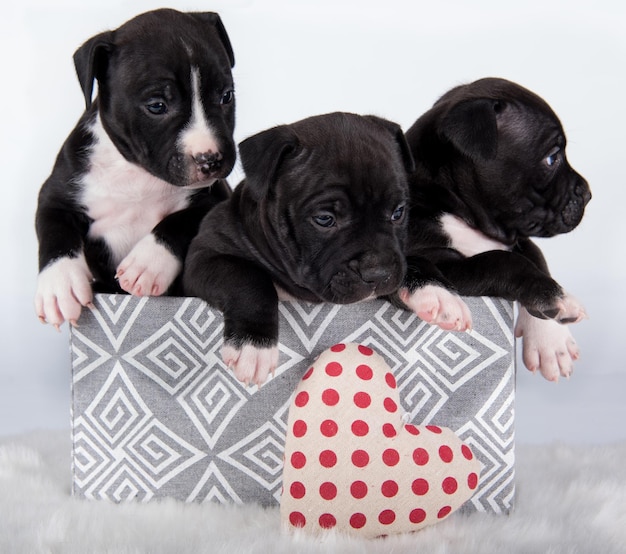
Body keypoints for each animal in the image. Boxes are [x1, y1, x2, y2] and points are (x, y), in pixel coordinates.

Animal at [36, 8, 236, 326]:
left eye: (226, 96)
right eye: (157, 105)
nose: (211, 159)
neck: (138, 174)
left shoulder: (216, 199)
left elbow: (180, 220)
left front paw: (147, 262)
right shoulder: (55, 195)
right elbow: (55, 230)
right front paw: (59, 285)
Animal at [183, 112, 412, 384]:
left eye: (398, 212)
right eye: (324, 219)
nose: (377, 273)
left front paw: (432, 293)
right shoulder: (206, 255)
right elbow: (248, 279)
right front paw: (254, 345)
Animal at [400, 76, 588, 380]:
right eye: (552, 158)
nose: (588, 193)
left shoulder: (519, 239)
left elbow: (537, 260)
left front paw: (551, 340)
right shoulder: (445, 261)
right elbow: (501, 262)